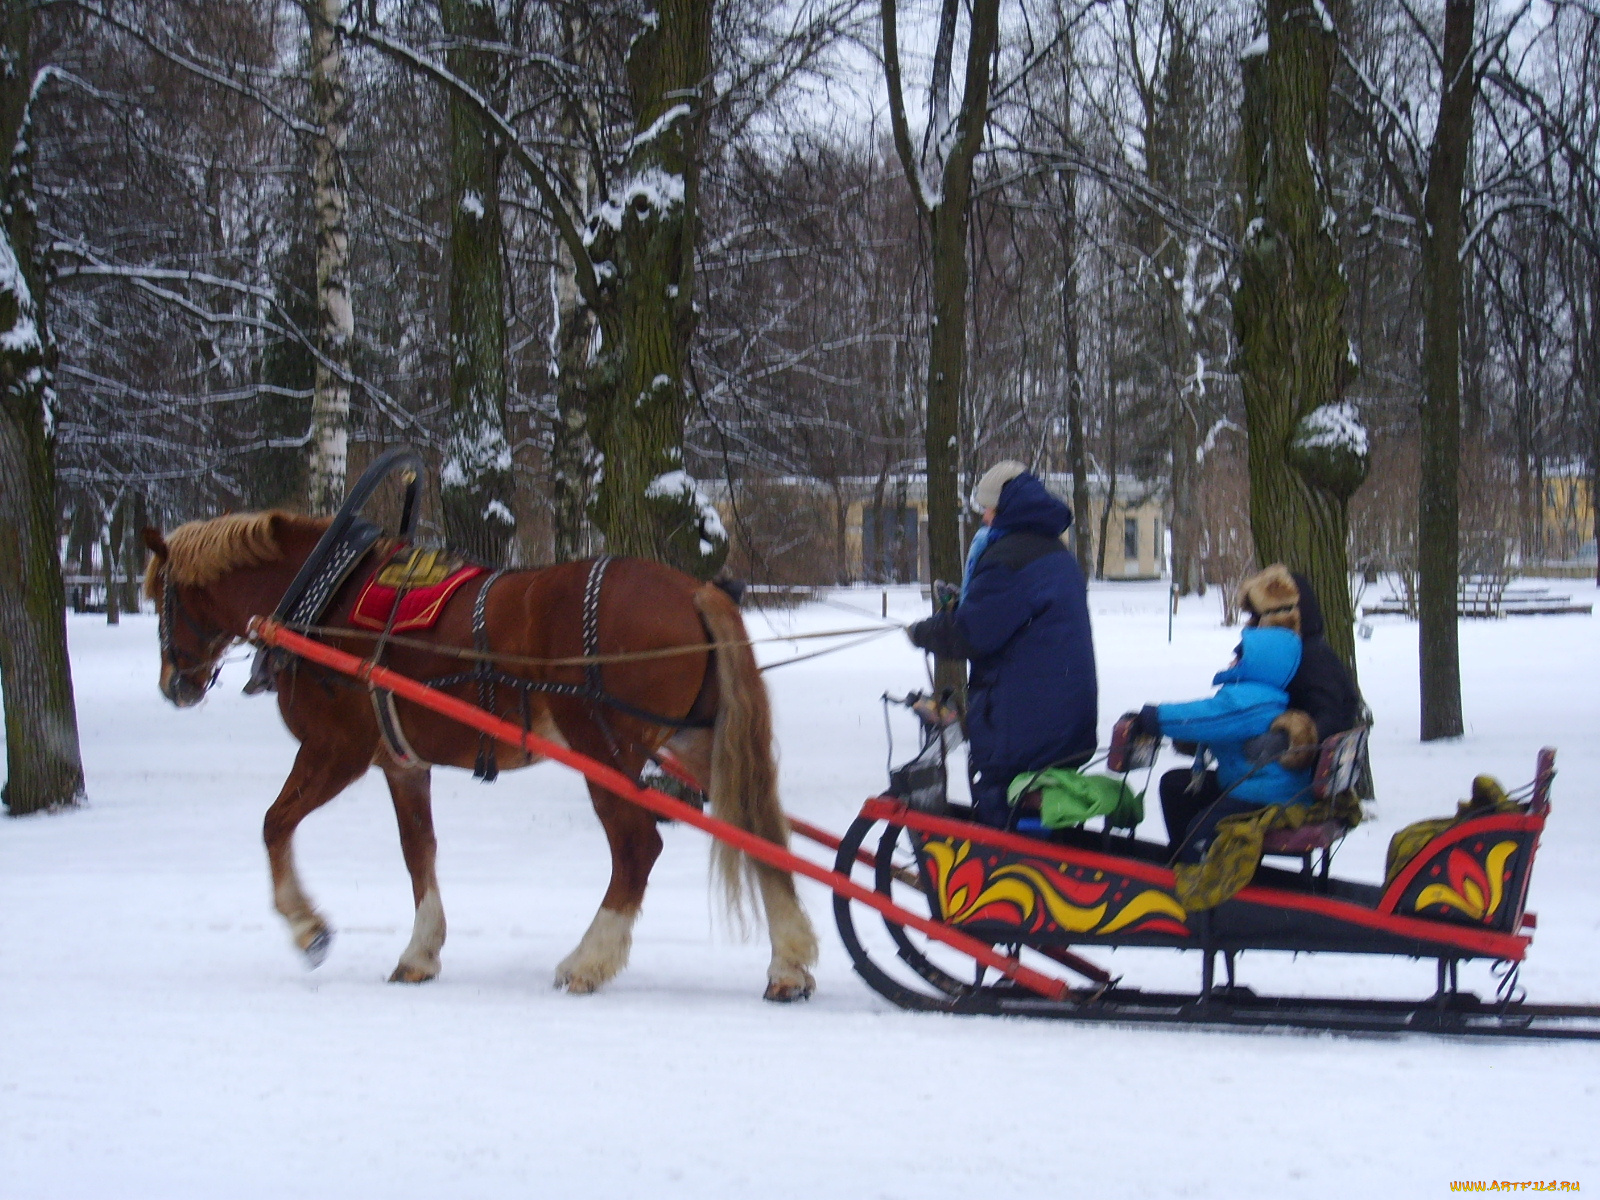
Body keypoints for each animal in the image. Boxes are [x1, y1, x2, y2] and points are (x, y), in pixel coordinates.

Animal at [139, 518, 819, 1004]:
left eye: (162, 600)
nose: (174, 685)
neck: (320, 598)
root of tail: (694, 588)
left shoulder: (336, 750)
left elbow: (275, 824)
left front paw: (309, 929)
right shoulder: (402, 764)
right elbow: (419, 852)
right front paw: (420, 953)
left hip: (604, 747)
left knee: (636, 847)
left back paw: (589, 961)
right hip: (696, 742)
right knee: (760, 832)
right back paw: (787, 965)